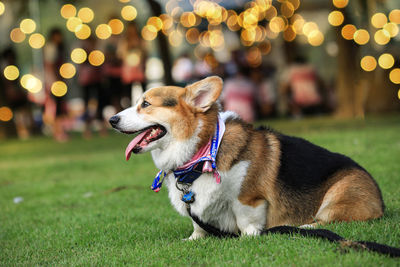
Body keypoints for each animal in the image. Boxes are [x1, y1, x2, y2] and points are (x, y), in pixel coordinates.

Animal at [109, 76, 384, 241]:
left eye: (145, 104)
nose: (111, 119)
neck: (201, 151)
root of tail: (380, 200)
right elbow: (198, 226)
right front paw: (193, 239)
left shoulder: (248, 198)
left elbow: (246, 219)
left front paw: (248, 237)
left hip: (338, 193)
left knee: (330, 220)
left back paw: (303, 226)